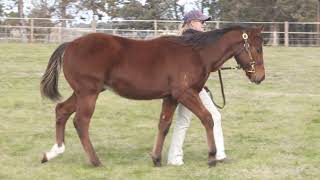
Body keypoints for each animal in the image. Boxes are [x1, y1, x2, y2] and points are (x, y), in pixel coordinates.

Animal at [40, 25, 264, 167]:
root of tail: (70, 44)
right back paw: (95, 161)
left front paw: (156, 158)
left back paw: (53, 152)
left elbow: (164, 124)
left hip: (82, 92)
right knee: (81, 121)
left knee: (61, 110)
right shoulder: (184, 93)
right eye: (258, 48)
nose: (260, 77)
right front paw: (211, 157)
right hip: (89, 93)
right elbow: (207, 118)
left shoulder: (171, 97)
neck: (196, 53)